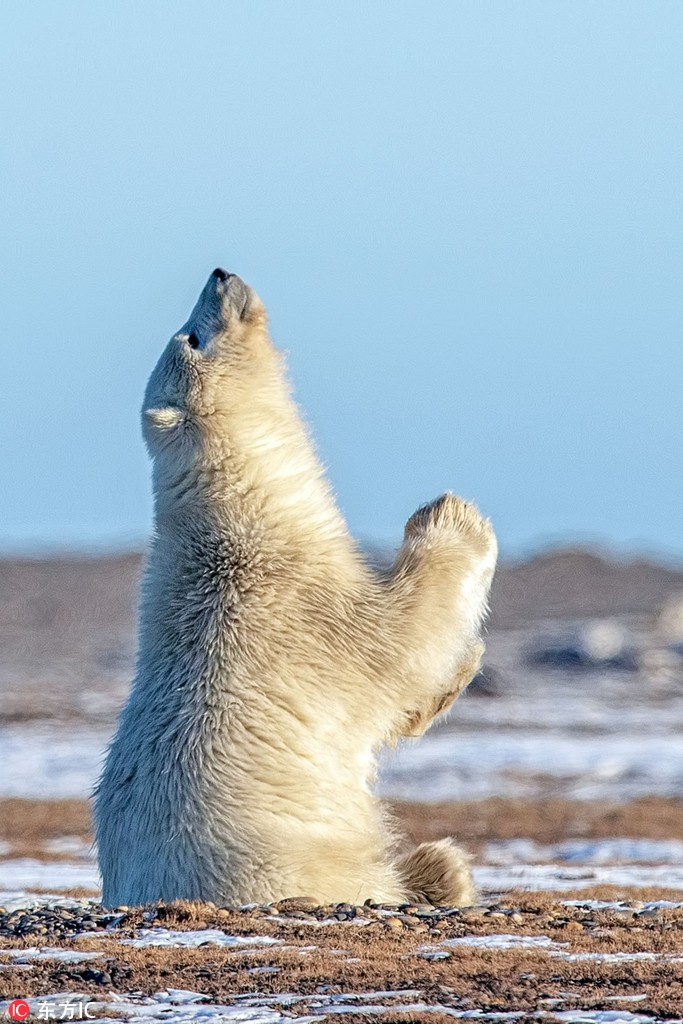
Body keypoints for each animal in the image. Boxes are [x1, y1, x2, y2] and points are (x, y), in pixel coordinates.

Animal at [94, 268, 497, 909]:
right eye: (193, 337)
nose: (219, 274)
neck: (242, 511)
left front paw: (465, 667)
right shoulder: (300, 602)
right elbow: (403, 636)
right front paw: (453, 515)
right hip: (291, 861)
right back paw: (440, 869)